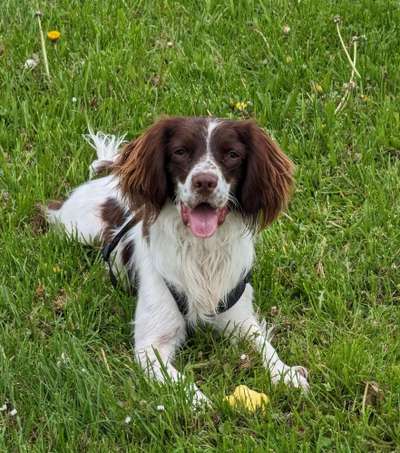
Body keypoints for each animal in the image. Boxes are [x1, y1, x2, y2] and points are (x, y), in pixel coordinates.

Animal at [47, 117, 310, 406]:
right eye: (180, 152)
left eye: (232, 155)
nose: (204, 182)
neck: (202, 251)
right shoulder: (151, 345)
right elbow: (179, 382)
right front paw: (201, 403)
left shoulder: (238, 315)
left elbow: (263, 343)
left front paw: (286, 373)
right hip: (77, 229)